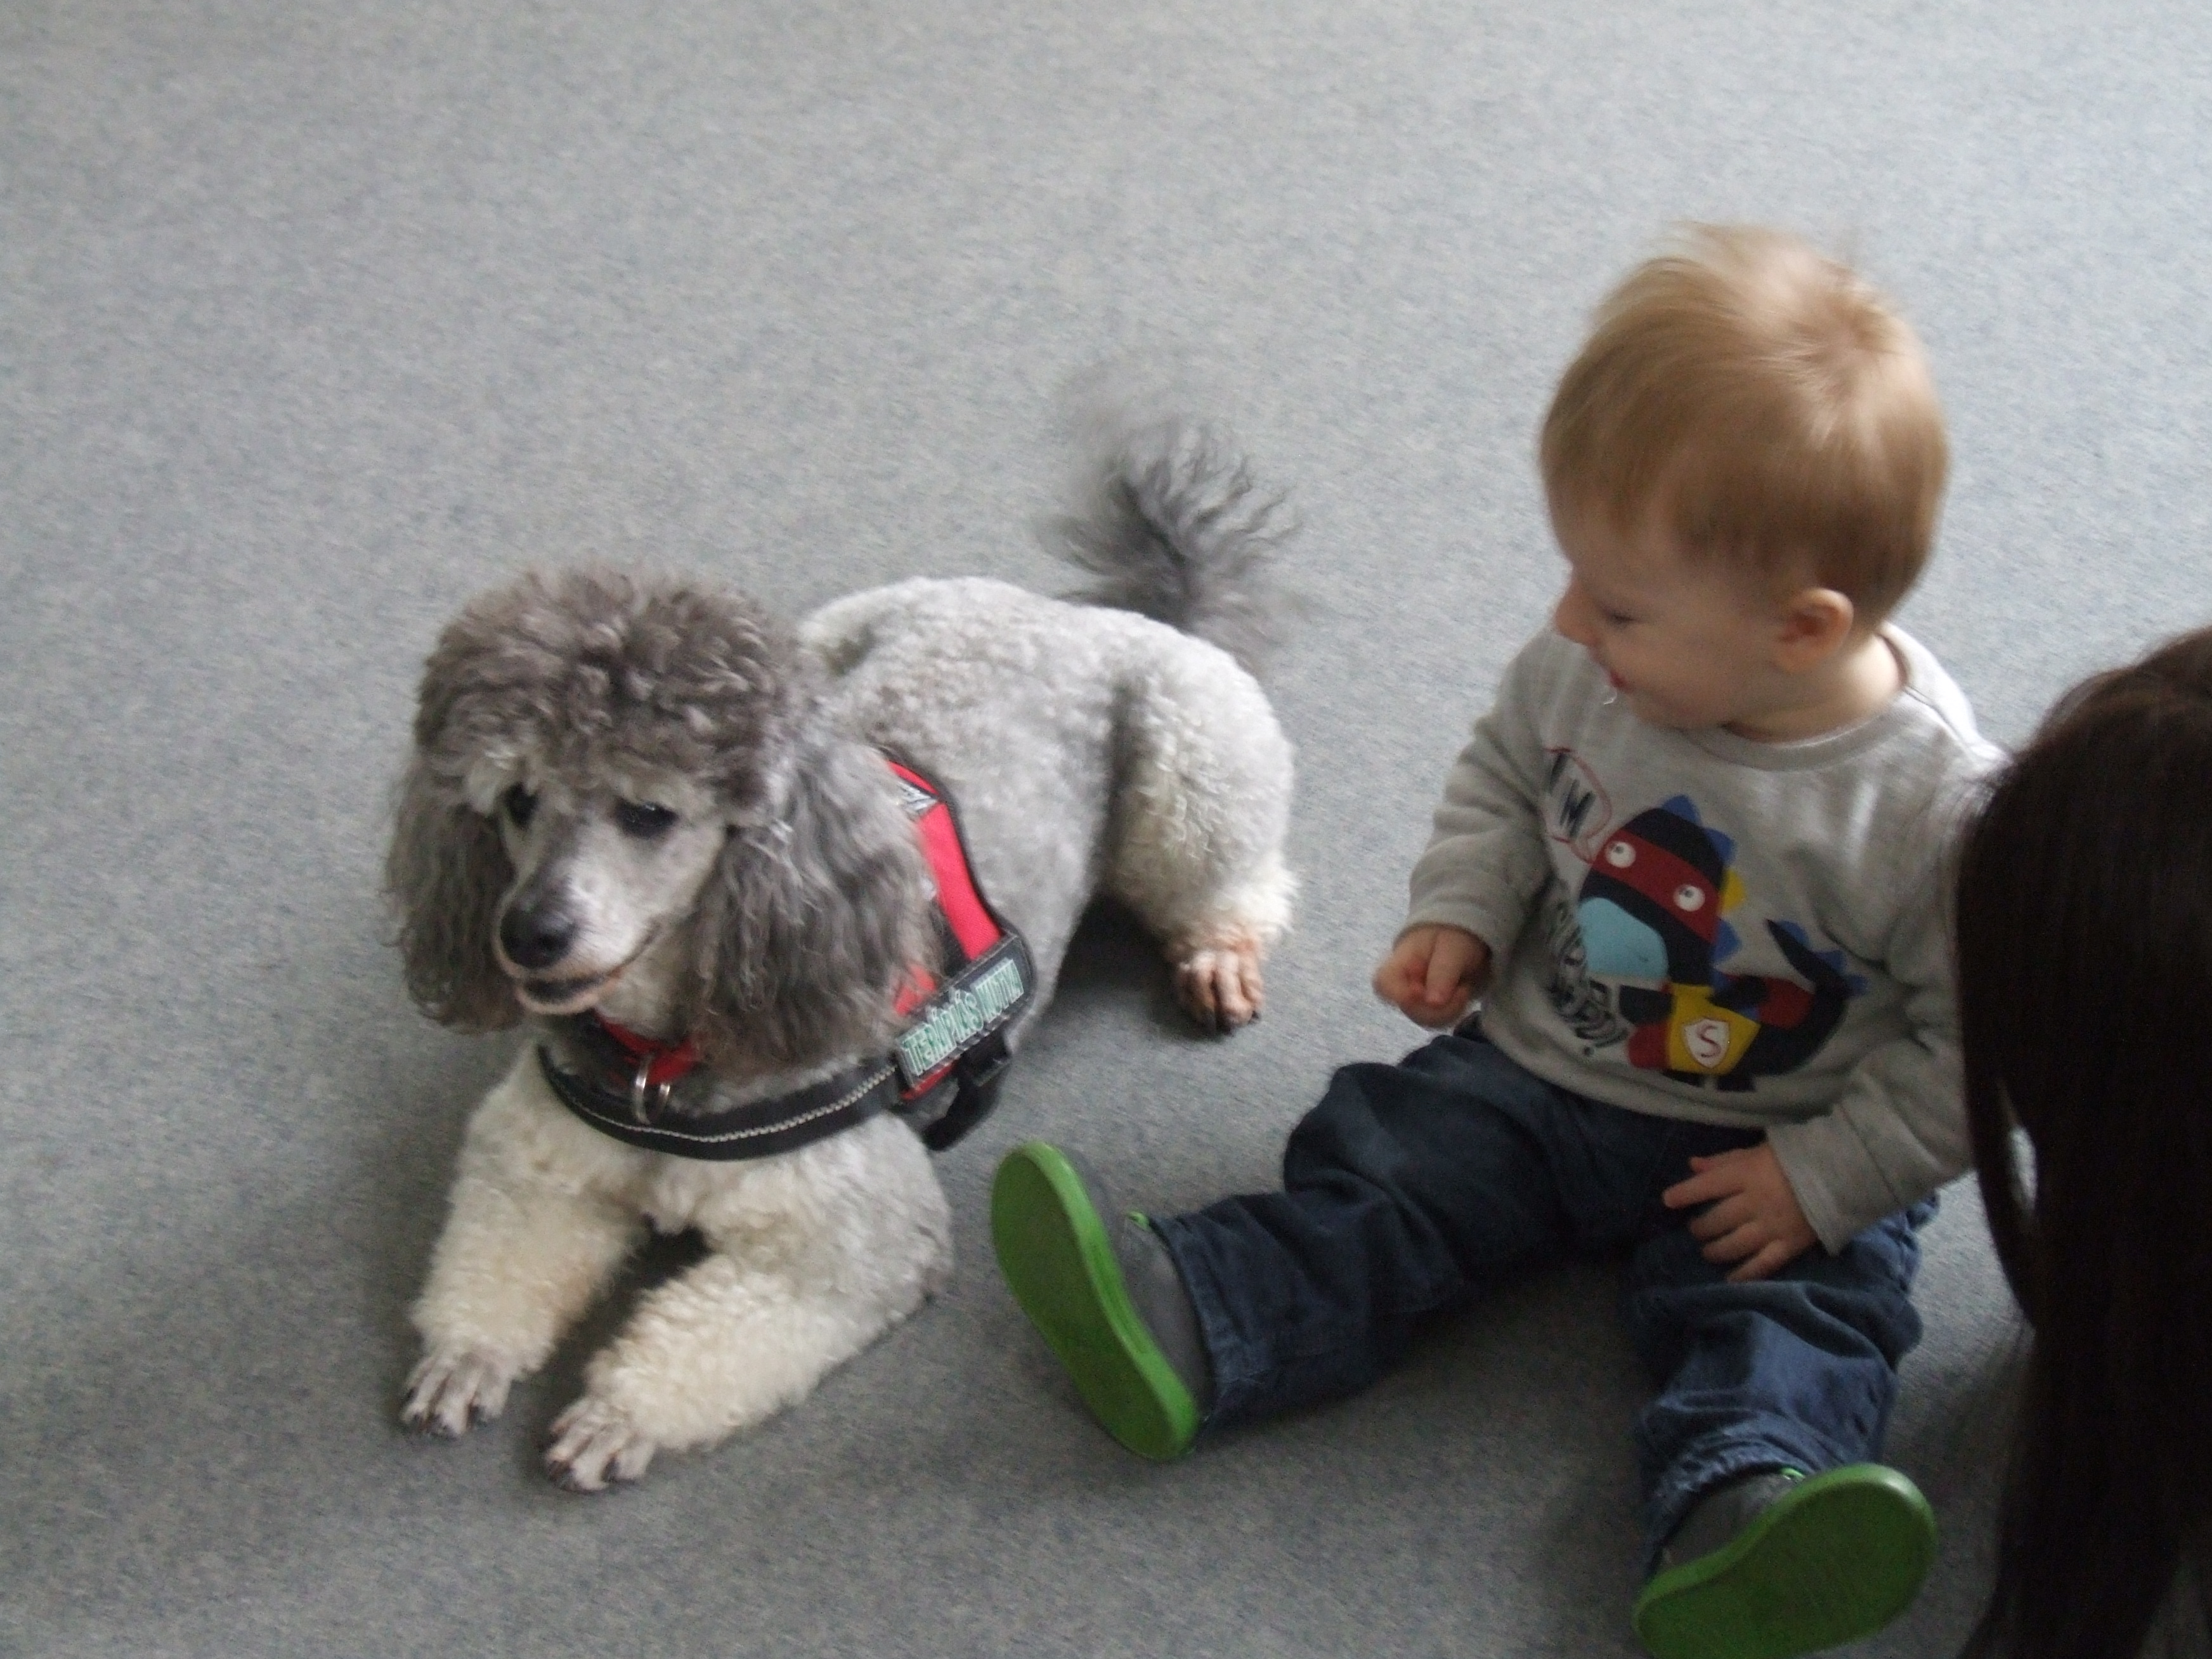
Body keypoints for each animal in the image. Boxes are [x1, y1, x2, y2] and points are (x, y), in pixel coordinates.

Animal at [386, 418, 1297, 1489]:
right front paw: (465, 1353)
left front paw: (620, 1412)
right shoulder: (536, 1161)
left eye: (649, 814)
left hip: (1195, 758)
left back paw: (1217, 958)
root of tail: (1076, 613)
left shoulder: (857, 1244)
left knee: (1235, 885)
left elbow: (706, 1333)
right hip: (833, 633)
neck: (669, 1058)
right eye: (517, 800)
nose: (528, 934)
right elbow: (498, 1259)